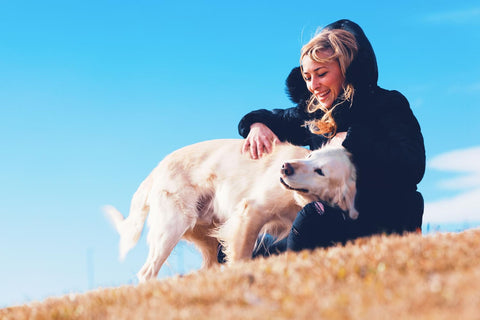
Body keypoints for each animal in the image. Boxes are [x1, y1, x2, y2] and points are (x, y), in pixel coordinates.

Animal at [107, 139, 358, 282]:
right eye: (309, 156)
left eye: (320, 171)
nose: (285, 167)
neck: (297, 199)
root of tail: (158, 168)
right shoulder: (251, 211)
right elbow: (241, 255)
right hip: (171, 228)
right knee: (147, 272)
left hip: (207, 238)